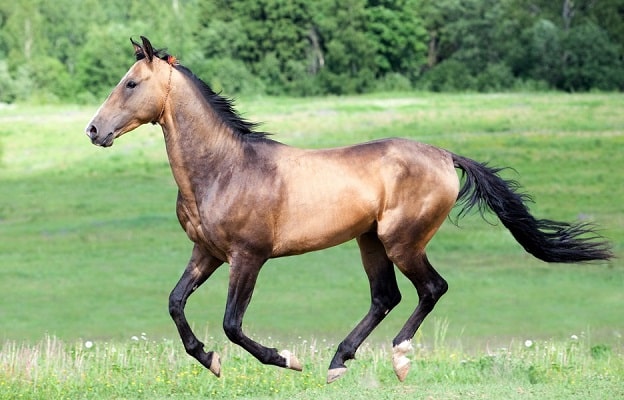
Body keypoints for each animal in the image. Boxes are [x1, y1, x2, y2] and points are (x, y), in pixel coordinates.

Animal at [83, 37, 608, 384]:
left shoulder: (248, 257)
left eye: (130, 84)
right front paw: (209, 360)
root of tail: (444, 155)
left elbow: (233, 324)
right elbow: (176, 304)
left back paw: (398, 358)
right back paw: (338, 362)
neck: (224, 170)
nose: (93, 130)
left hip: (401, 240)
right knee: (385, 296)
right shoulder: (206, 252)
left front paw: (287, 359)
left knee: (430, 288)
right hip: (369, 239)